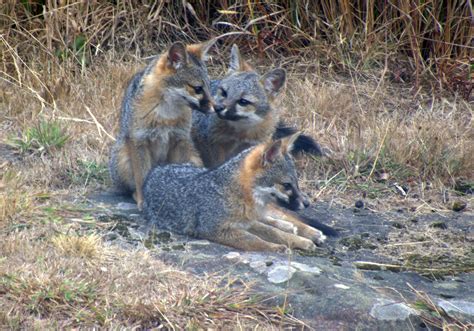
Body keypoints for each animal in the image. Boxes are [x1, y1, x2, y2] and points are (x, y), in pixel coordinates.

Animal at [109, 40, 215, 209]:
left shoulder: (179, 139)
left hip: (193, 155)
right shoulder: (139, 141)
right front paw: (143, 200)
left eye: (210, 87)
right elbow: (141, 177)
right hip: (122, 158)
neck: (166, 114)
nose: (216, 108)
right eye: (198, 89)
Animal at [143, 134, 326, 253]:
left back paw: (309, 231)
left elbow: (273, 232)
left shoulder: (245, 223)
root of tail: (157, 169)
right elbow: (255, 240)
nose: (307, 203)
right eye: (286, 185)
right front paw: (276, 247)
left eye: (297, 182)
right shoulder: (215, 229)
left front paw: (300, 240)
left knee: (276, 217)